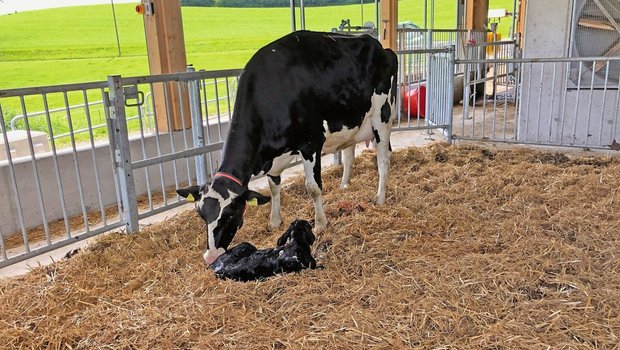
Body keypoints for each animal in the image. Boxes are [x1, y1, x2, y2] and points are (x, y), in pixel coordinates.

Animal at [176, 30, 398, 266]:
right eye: (201, 214)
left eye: (229, 214)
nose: (210, 256)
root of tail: (378, 45)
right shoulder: (273, 158)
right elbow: (274, 187)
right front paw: (275, 221)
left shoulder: (311, 143)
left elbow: (313, 187)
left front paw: (320, 223)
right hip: (352, 122)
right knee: (349, 155)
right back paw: (344, 185)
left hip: (382, 117)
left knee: (383, 160)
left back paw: (380, 198)